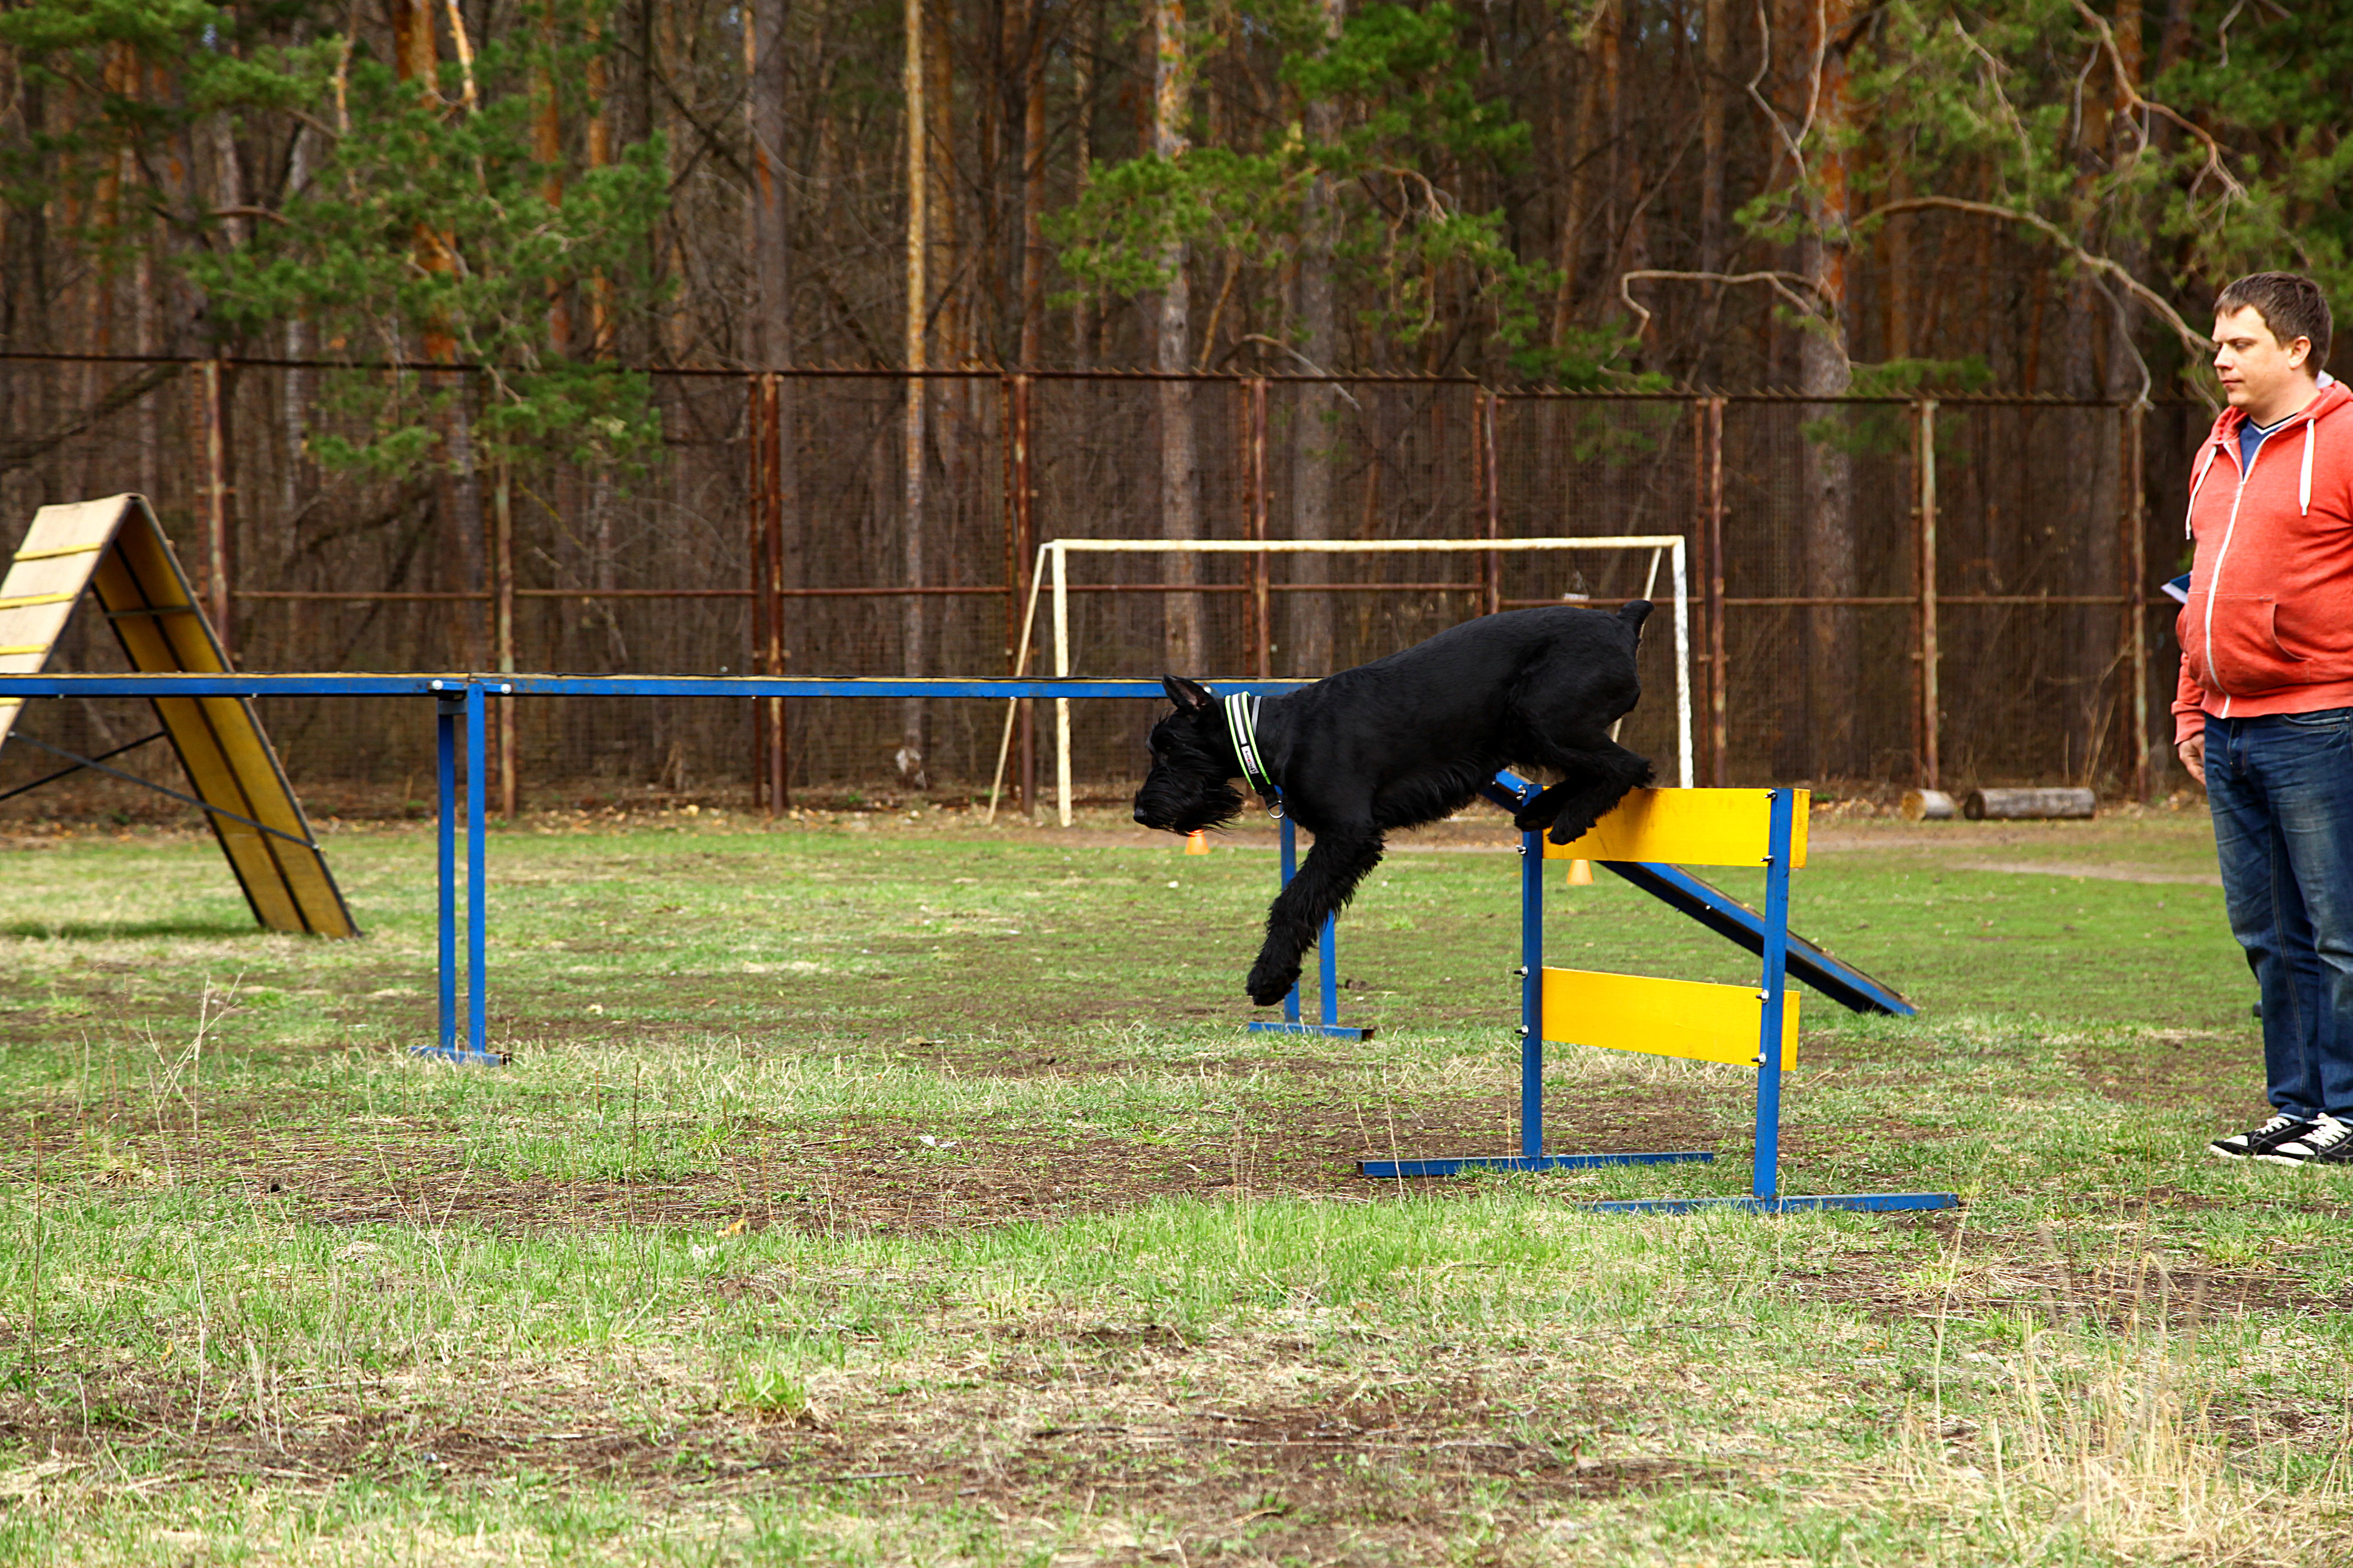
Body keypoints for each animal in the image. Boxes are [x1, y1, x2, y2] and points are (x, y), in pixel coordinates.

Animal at [1134, 593, 1657, 1007]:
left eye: (1169, 749)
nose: (1141, 811)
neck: (1279, 735)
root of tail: (1620, 622)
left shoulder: (1347, 834)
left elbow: (1291, 901)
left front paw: (1267, 979)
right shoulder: (1346, 845)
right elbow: (1312, 903)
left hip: (1542, 718)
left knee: (1629, 766)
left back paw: (1568, 820)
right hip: (1528, 731)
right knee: (1602, 768)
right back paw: (1540, 810)